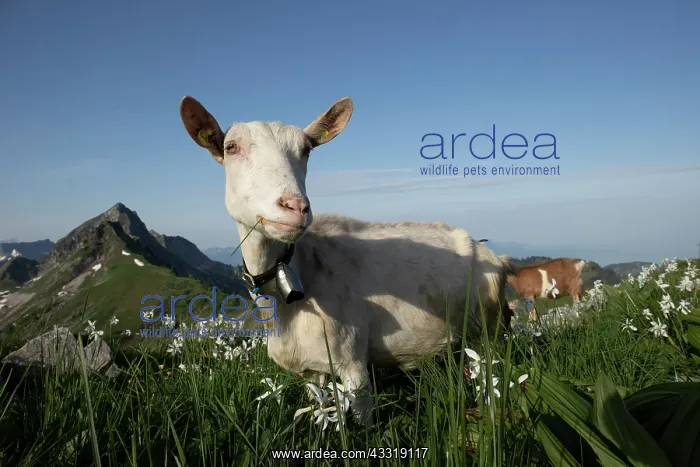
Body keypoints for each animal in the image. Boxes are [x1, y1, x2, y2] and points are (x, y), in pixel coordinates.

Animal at [179, 95, 514, 426]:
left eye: (307, 149)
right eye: (231, 147)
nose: (294, 207)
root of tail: (493, 255)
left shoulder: (352, 360)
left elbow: (363, 419)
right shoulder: (312, 368)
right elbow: (319, 405)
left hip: (488, 330)